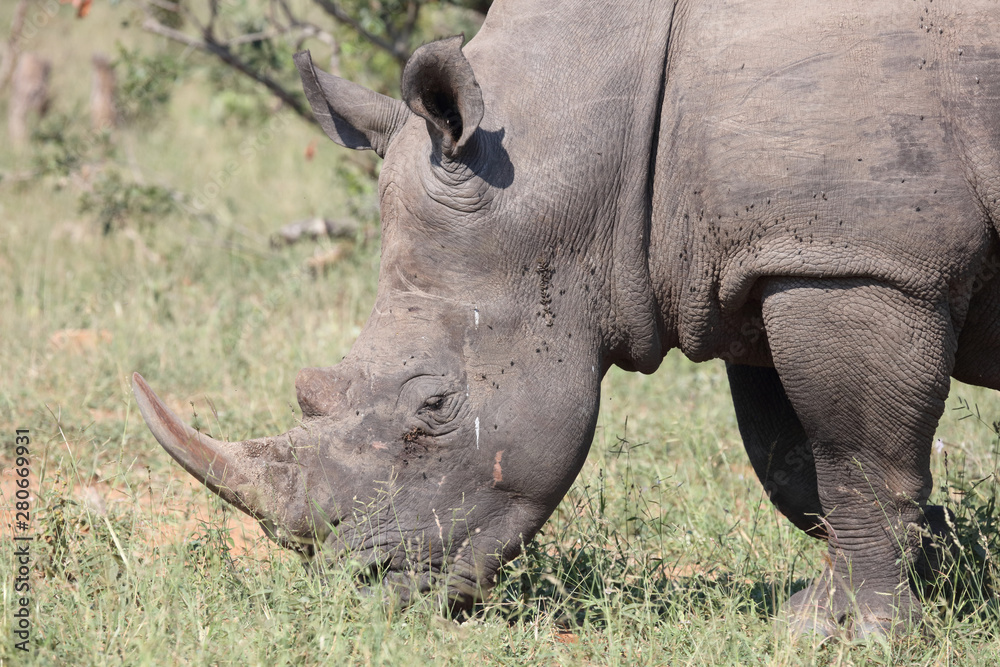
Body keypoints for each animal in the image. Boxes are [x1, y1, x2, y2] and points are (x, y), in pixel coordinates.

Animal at [133, 0, 1000, 639]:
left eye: (435, 404)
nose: (361, 589)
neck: (584, 150)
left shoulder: (857, 258)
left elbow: (855, 457)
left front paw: (854, 633)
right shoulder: (770, 258)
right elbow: (795, 464)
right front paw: (951, 568)